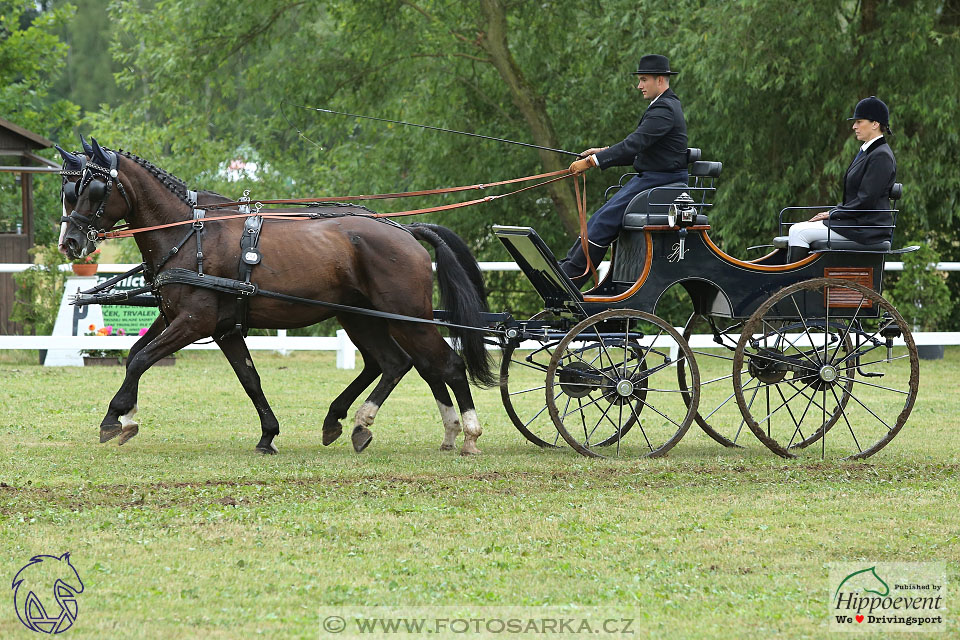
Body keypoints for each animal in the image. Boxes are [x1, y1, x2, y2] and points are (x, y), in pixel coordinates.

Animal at [58, 139, 496, 456]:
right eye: (66, 189)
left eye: (93, 189)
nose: (70, 243)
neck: (189, 234)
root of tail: (405, 231)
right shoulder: (206, 324)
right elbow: (245, 378)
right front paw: (268, 435)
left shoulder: (194, 322)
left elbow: (142, 360)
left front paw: (115, 420)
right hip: (361, 317)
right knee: (396, 363)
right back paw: (356, 423)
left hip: (404, 316)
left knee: (445, 365)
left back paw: (467, 434)